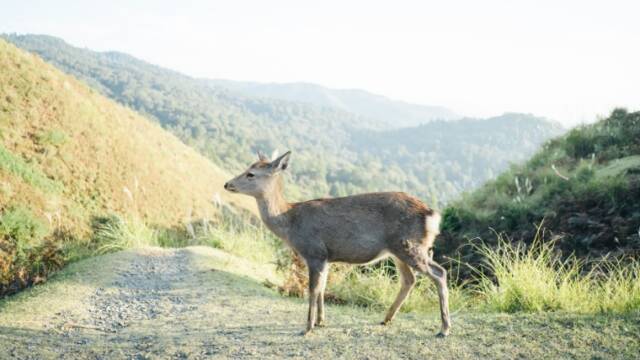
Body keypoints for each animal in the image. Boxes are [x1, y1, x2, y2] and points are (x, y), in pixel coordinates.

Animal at [224, 150, 450, 336]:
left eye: (251, 173)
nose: (227, 184)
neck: (291, 223)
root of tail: (432, 215)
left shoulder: (314, 252)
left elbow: (313, 289)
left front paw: (307, 327)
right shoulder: (326, 257)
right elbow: (323, 287)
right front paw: (321, 321)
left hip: (410, 246)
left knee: (439, 272)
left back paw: (444, 328)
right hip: (399, 250)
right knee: (409, 279)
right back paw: (386, 319)